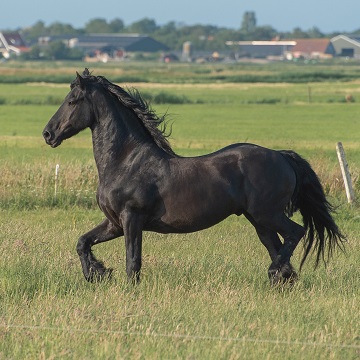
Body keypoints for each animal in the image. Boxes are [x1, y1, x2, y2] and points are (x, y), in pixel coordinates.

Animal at [43, 69, 346, 286]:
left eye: (72, 101)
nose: (48, 134)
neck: (125, 161)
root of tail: (282, 156)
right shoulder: (115, 222)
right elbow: (83, 242)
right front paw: (97, 273)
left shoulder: (132, 219)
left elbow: (133, 262)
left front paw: (120, 283)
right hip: (258, 220)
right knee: (277, 246)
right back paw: (283, 278)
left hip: (266, 214)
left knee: (296, 233)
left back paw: (276, 273)